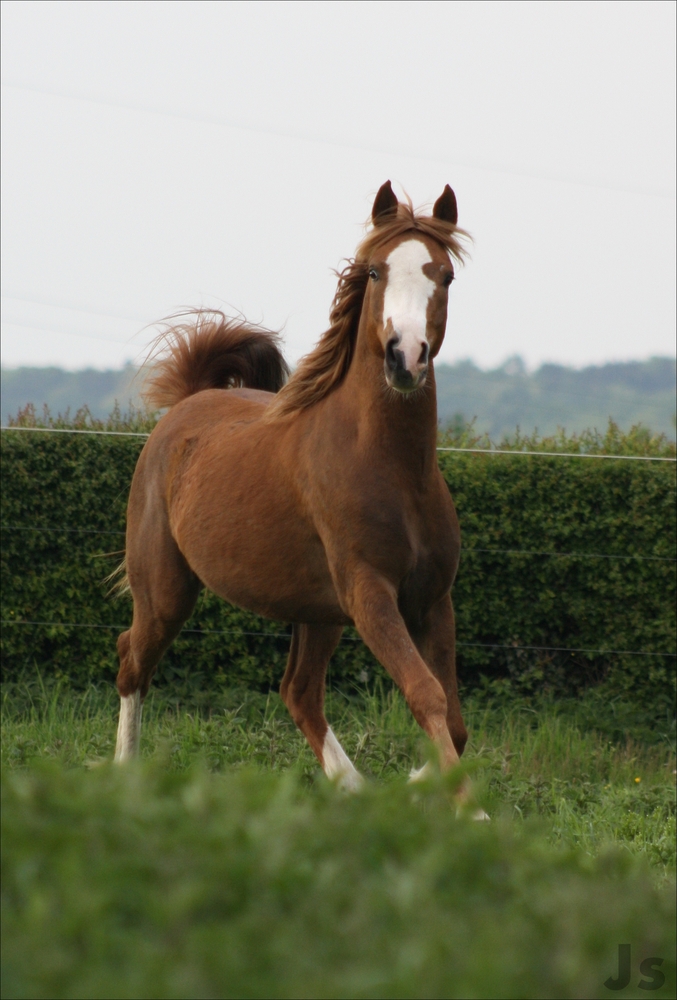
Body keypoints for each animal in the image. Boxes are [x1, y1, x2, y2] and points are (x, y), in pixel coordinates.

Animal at [112, 182, 470, 796]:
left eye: (444, 275)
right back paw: (123, 774)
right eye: (375, 271)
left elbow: (455, 717)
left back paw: (354, 791)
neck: (395, 471)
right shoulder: (371, 594)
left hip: (318, 611)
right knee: (132, 661)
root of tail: (188, 402)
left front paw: (418, 783)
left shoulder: (430, 599)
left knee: (299, 692)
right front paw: (471, 806)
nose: (405, 356)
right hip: (165, 590)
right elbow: (427, 695)